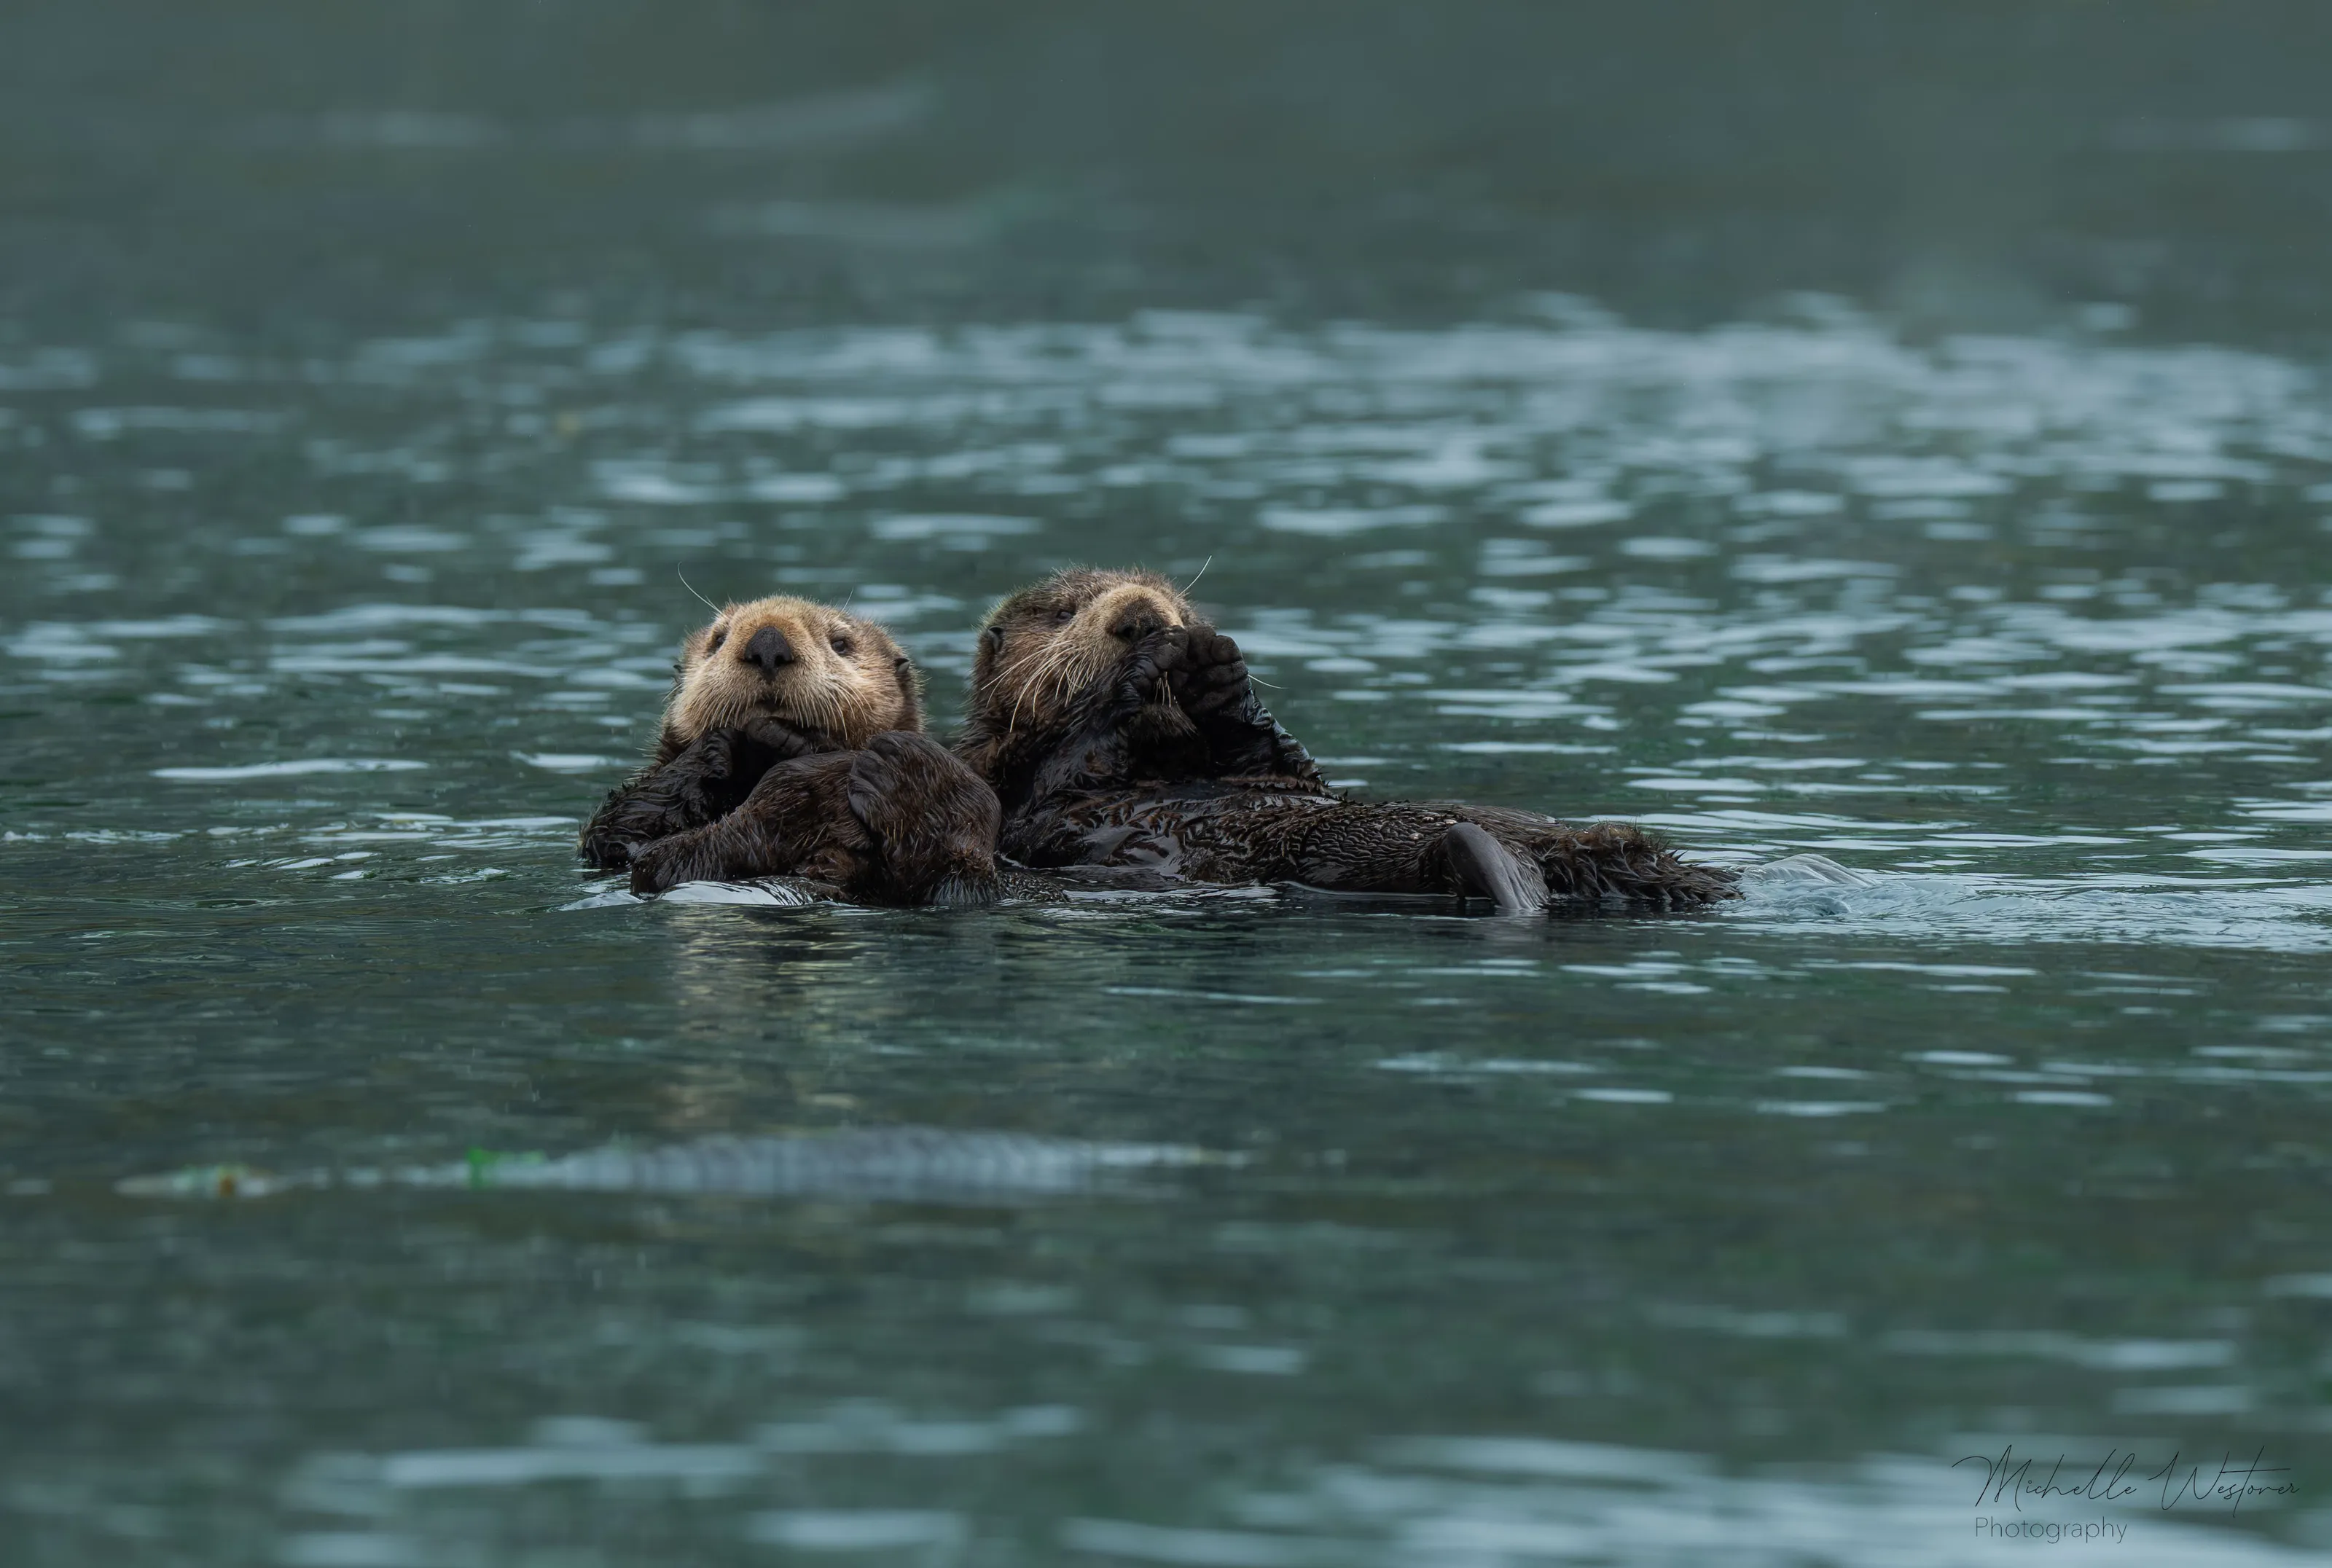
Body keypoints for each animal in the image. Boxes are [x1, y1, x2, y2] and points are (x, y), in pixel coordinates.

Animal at [958, 568, 1737, 910]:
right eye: (1065, 612)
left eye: (1178, 601)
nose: (1145, 618)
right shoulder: (1025, 790)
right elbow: (1074, 758)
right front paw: (1140, 675)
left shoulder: (1274, 772)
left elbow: (1280, 761)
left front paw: (1216, 671)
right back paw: (1514, 881)